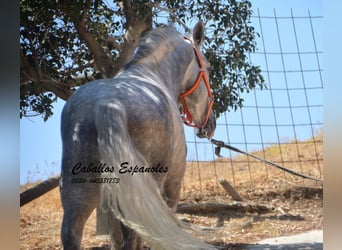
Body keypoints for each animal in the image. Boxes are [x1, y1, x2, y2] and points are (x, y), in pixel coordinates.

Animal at [59, 22, 216, 250]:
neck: (151, 74)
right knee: (134, 236)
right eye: (209, 67)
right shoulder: (172, 184)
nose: (210, 125)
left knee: (72, 234)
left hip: (78, 192)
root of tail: (108, 104)